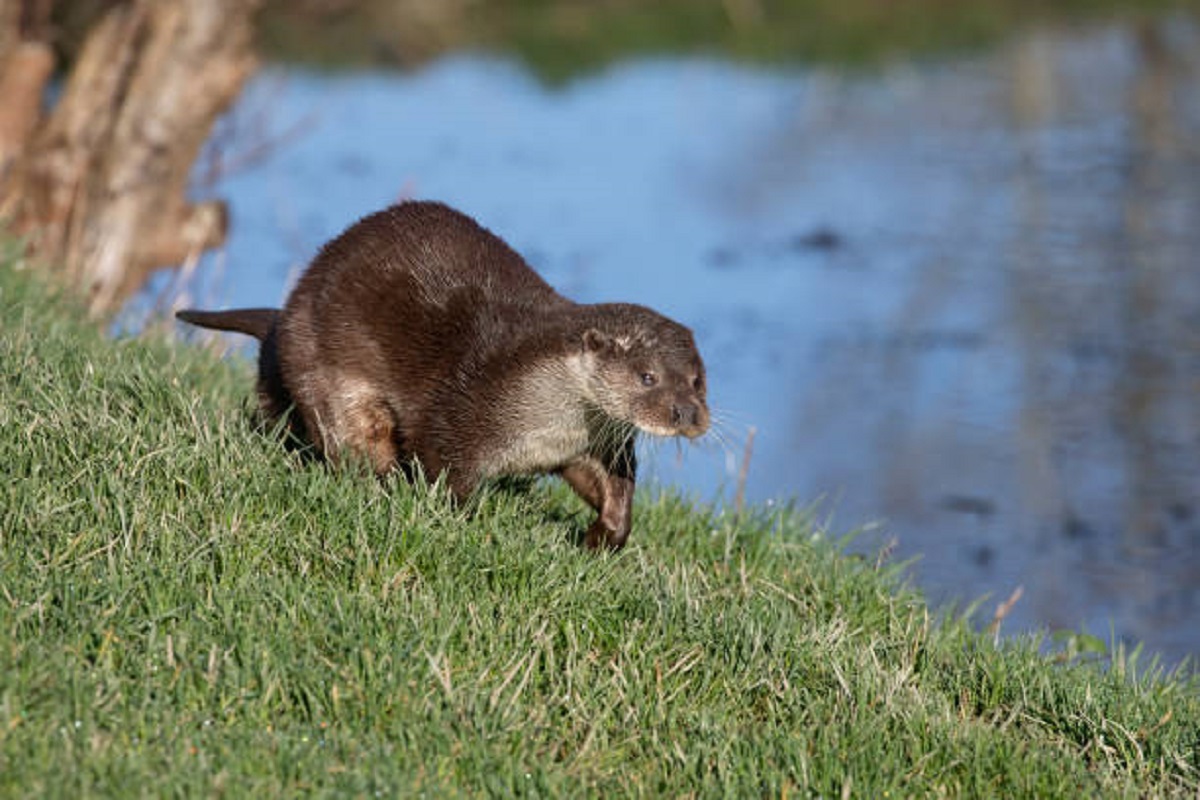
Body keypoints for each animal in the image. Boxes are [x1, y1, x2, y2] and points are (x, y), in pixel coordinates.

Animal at [174, 201, 705, 551]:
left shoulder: (592, 443)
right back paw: (381, 481)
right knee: (349, 436)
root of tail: (285, 314)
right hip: (319, 361)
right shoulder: (464, 411)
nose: (689, 415)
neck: (545, 416)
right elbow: (443, 468)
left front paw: (602, 537)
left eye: (698, 379)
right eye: (648, 377)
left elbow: (612, 487)